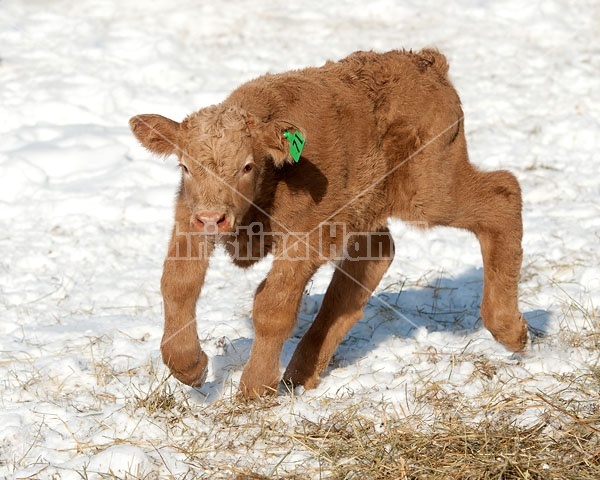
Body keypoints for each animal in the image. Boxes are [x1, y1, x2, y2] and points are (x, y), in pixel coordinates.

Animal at [129, 48, 528, 400]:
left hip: (429, 190)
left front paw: (255, 389)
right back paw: (301, 372)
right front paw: (188, 366)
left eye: (246, 165)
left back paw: (510, 329)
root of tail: (426, 62)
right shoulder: (188, 219)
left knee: (503, 194)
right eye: (184, 166)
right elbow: (177, 283)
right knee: (375, 256)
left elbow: (272, 307)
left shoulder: (306, 238)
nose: (213, 218)